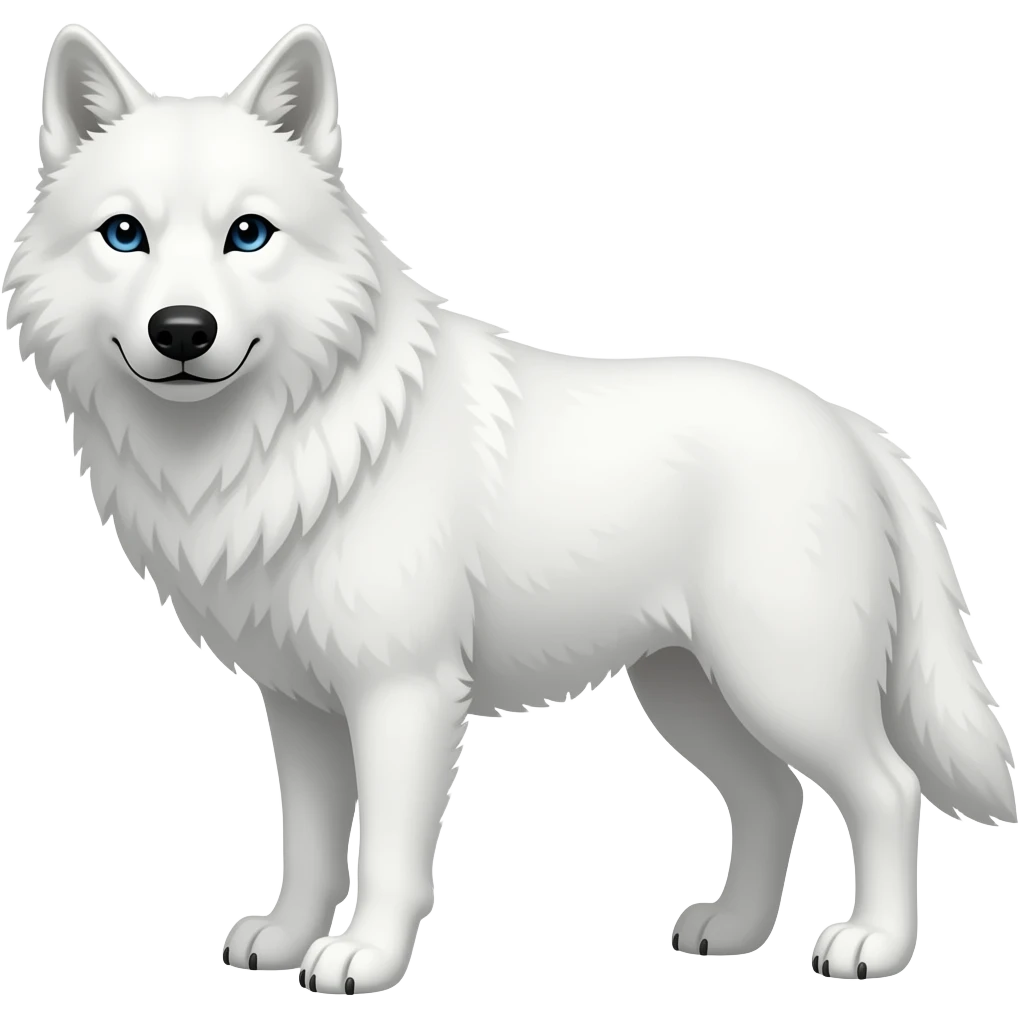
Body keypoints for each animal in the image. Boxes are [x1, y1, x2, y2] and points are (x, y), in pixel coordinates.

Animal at [4, 20, 1014, 994]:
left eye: (248, 234)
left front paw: (363, 959)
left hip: (782, 682)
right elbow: (310, 845)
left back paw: (871, 945)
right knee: (774, 794)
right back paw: (730, 932)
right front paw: (287, 941)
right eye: (124, 234)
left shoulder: (403, 693)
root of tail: (850, 424)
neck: (285, 440)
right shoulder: (299, 704)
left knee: (886, 788)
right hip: (688, 690)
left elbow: (388, 854)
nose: (182, 330)